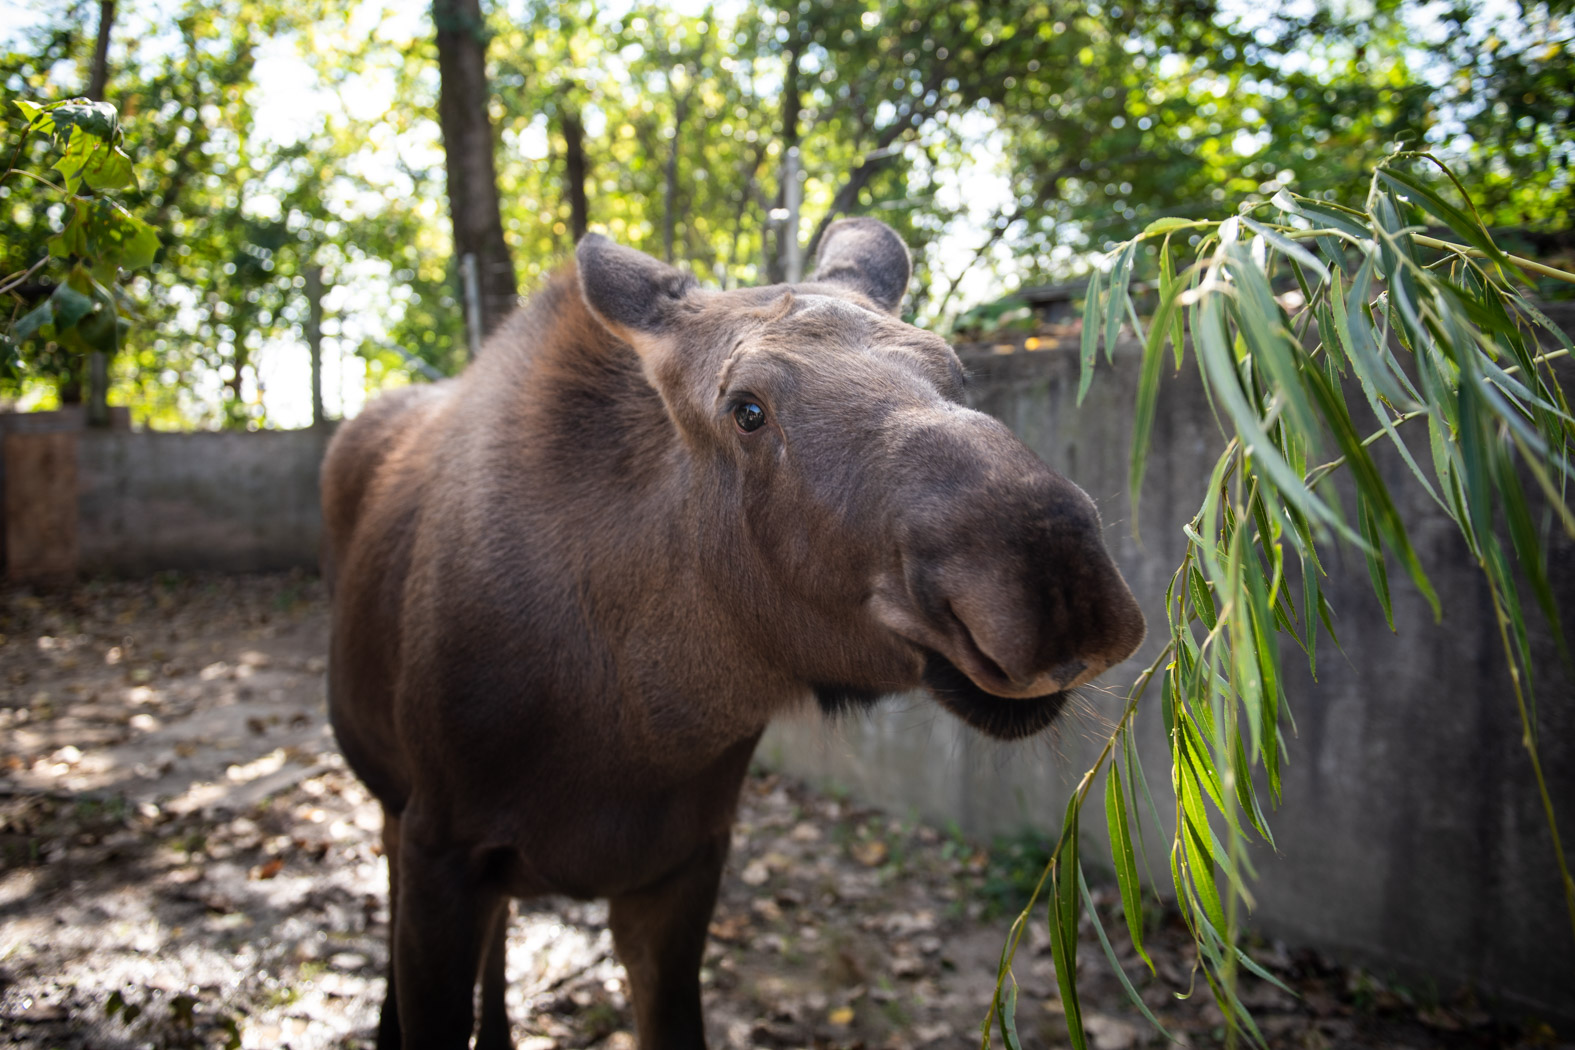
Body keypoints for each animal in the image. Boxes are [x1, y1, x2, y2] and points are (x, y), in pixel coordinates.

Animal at [326, 217, 1146, 1045]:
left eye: (954, 372)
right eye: (746, 411)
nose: (1057, 577)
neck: (626, 733)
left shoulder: (682, 865)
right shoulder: (440, 849)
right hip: (391, 807)